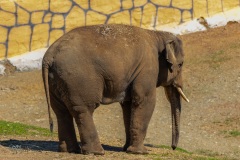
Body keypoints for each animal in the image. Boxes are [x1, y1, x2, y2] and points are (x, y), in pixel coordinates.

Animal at [42, 23, 188, 155]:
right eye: (181, 64)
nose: (173, 147)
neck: (157, 34)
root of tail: (49, 56)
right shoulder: (147, 67)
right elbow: (145, 100)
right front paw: (141, 152)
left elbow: (128, 105)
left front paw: (127, 149)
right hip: (77, 79)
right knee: (84, 109)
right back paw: (96, 152)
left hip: (57, 81)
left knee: (61, 112)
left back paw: (69, 151)